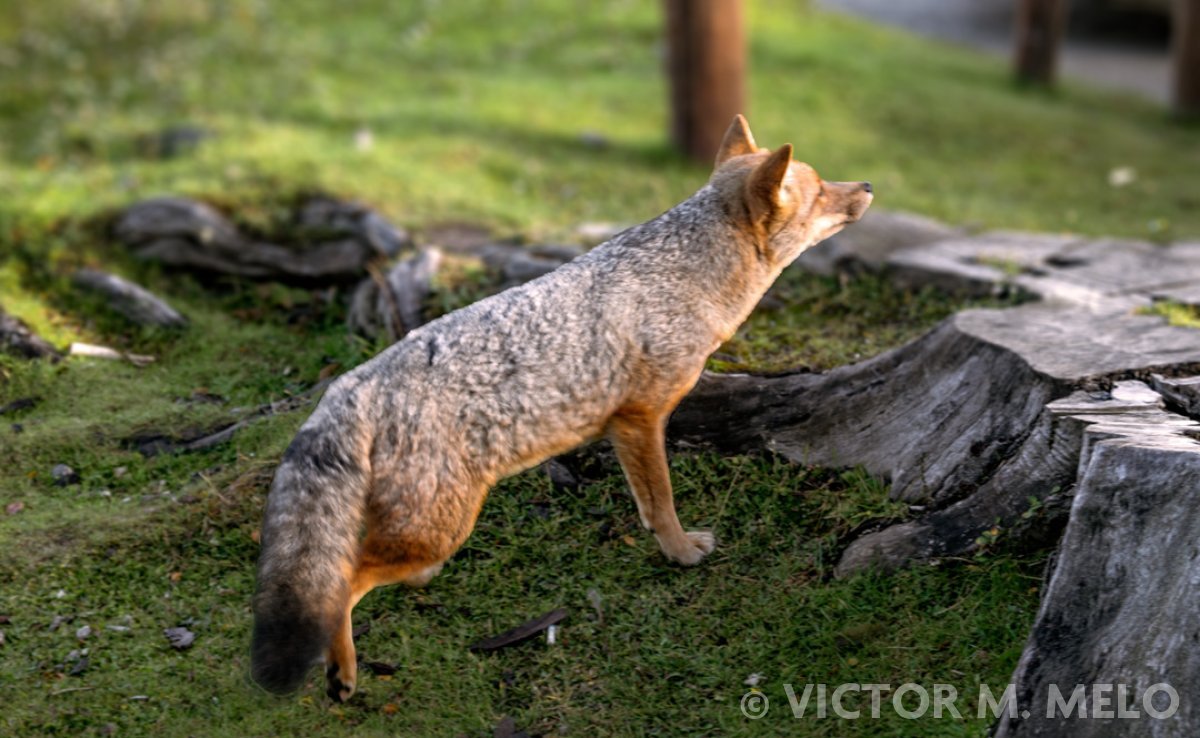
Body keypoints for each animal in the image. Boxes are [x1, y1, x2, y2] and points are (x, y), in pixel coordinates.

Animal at [250, 115, 873, 701]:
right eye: (821, 190)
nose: (867, 184)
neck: (681, 277)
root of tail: (351, 384)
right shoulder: (641, 419)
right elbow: (661, 502)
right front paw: (680, 553)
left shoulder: (626, 426)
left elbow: (646, 502)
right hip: (441, 525)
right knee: (341, 582)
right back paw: (343, 674)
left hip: (428, 525)